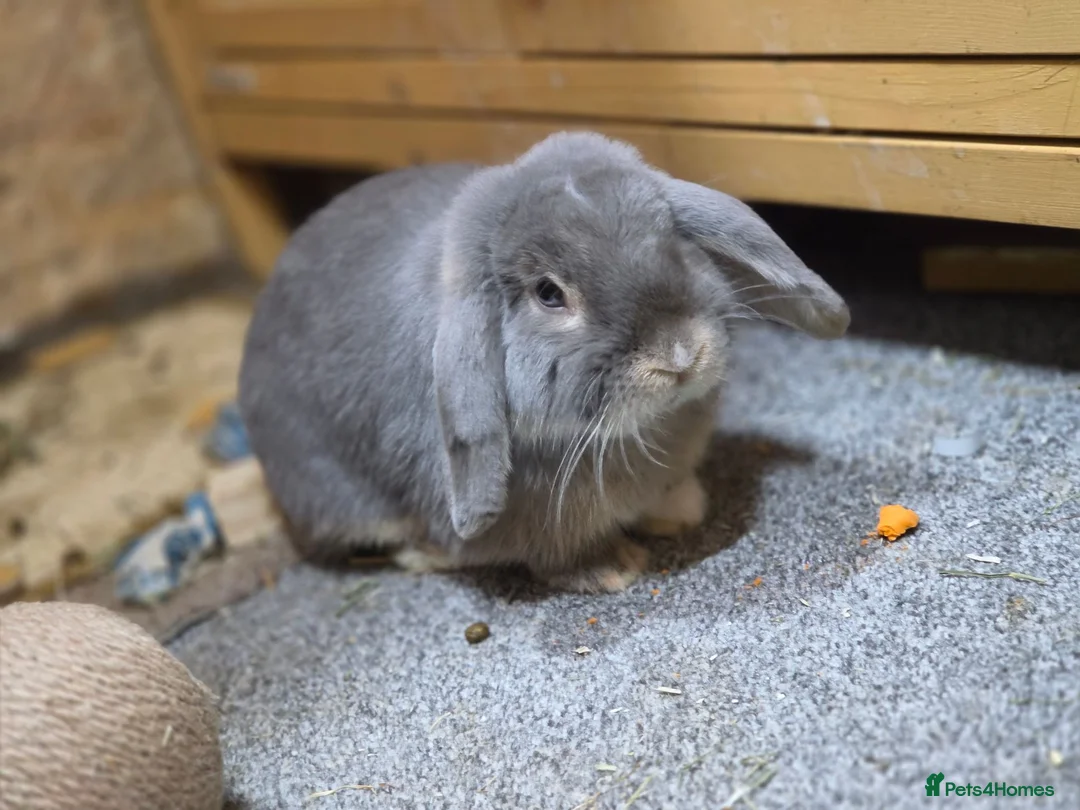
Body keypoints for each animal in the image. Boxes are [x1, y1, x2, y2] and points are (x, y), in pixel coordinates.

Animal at [238, 131, 849, 593]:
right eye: (549, 294)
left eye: (672, 243)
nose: (679, 353)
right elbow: (553, 557)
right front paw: (614, 569)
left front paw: (681, 509)